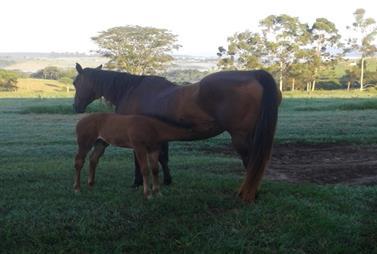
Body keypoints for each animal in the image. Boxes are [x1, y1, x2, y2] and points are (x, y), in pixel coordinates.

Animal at [72, 64, 280, 203]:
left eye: (75, 82)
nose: (75, 107)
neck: (131, 90)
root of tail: (252, 73)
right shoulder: (157, 137)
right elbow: (162, 159)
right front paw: (166, 181)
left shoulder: (136, 137)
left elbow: (139, 162)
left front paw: (138, 183)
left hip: (240, 137)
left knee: (251, 161)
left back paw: (249, 193)